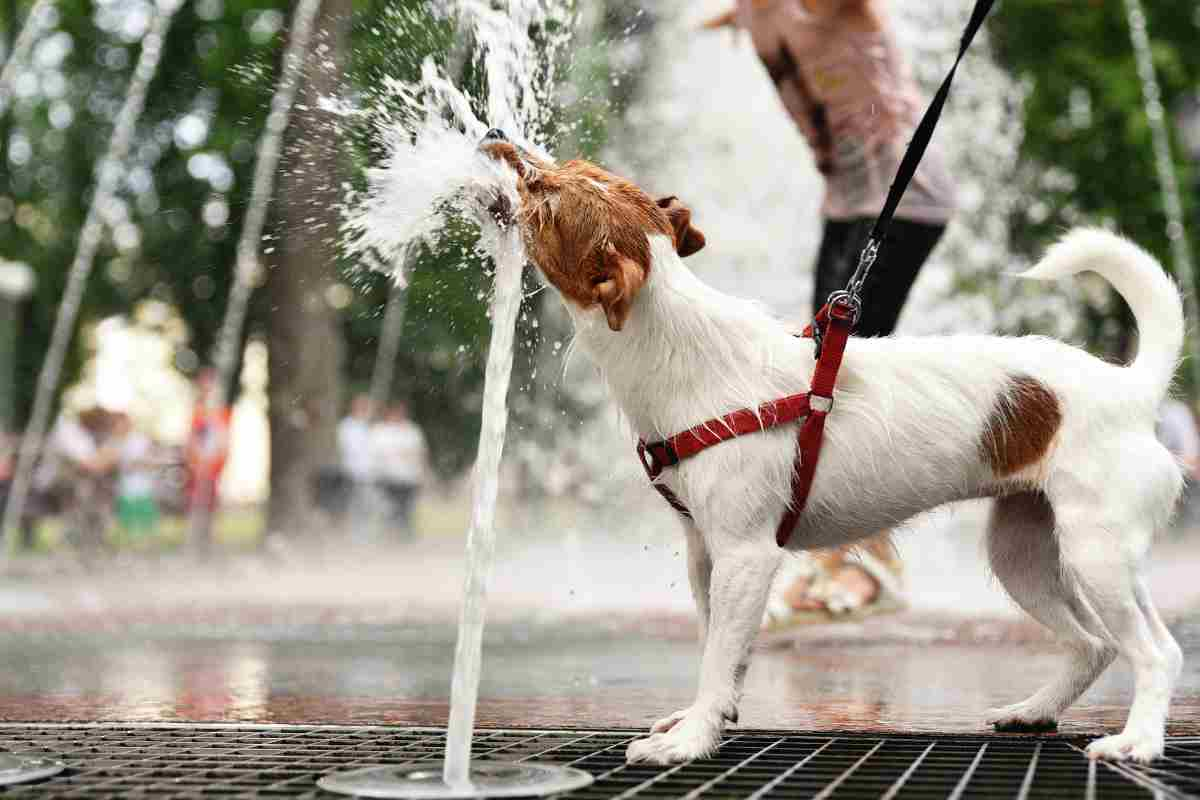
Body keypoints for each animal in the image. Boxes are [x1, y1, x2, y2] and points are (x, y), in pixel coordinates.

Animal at [480, 133, 1190, 767]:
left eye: (544, 194)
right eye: (566, 167)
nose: (494, 135)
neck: (682, 346)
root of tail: (1131, 388)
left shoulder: (746, 556)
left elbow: (717, 655)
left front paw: (691, 740)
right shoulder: (706, 553)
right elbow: (719, 648)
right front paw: (708, 717)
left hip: (1094, 553)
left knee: (1156, 652)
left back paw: (1136, 743)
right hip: (1028, 555)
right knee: (1097, 645)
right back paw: (1035, 711)